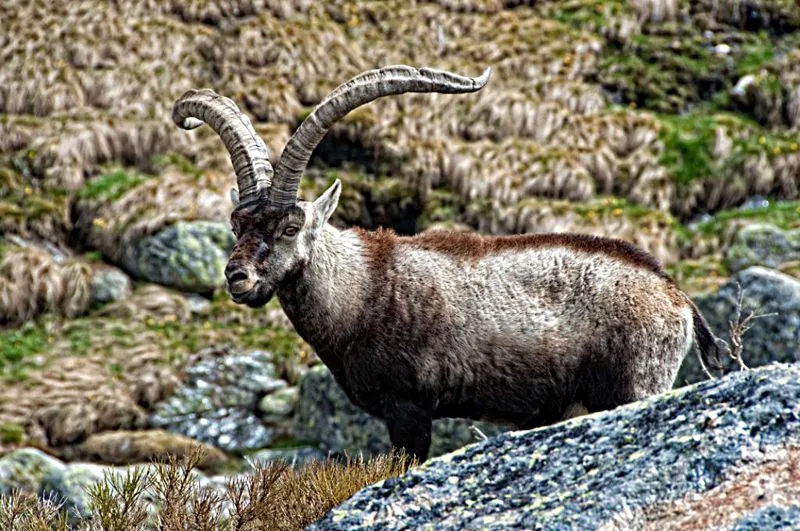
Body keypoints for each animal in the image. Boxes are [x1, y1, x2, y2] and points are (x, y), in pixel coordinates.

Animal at [172, 64, 720, 462]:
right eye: (236, 225)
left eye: (290, 227)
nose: (237, 277)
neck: (362, 288)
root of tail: (675, 297)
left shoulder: (409, 408)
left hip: (637, 383)